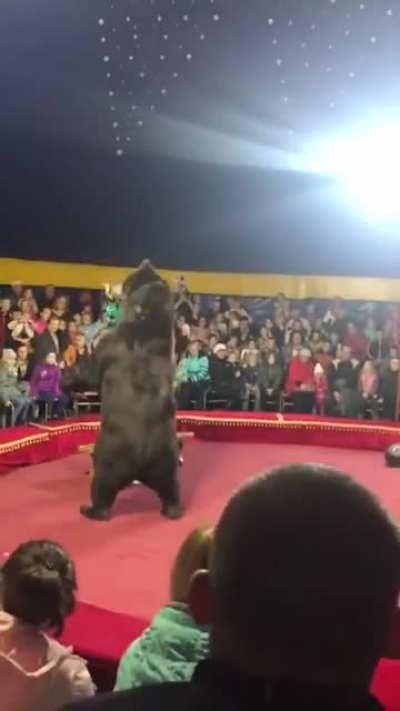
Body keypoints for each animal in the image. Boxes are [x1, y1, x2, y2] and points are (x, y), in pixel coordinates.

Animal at [80, 260, 182, 521]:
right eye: (158, 278)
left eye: (131, 281)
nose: (146, 262)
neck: (146, 331)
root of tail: (140, 463)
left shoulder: (107, 344)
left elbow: (90, 373)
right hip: (165, 461)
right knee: (171, 487)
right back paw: (173, 509)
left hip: (108, 461)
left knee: (102, 490)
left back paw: (91, 510)